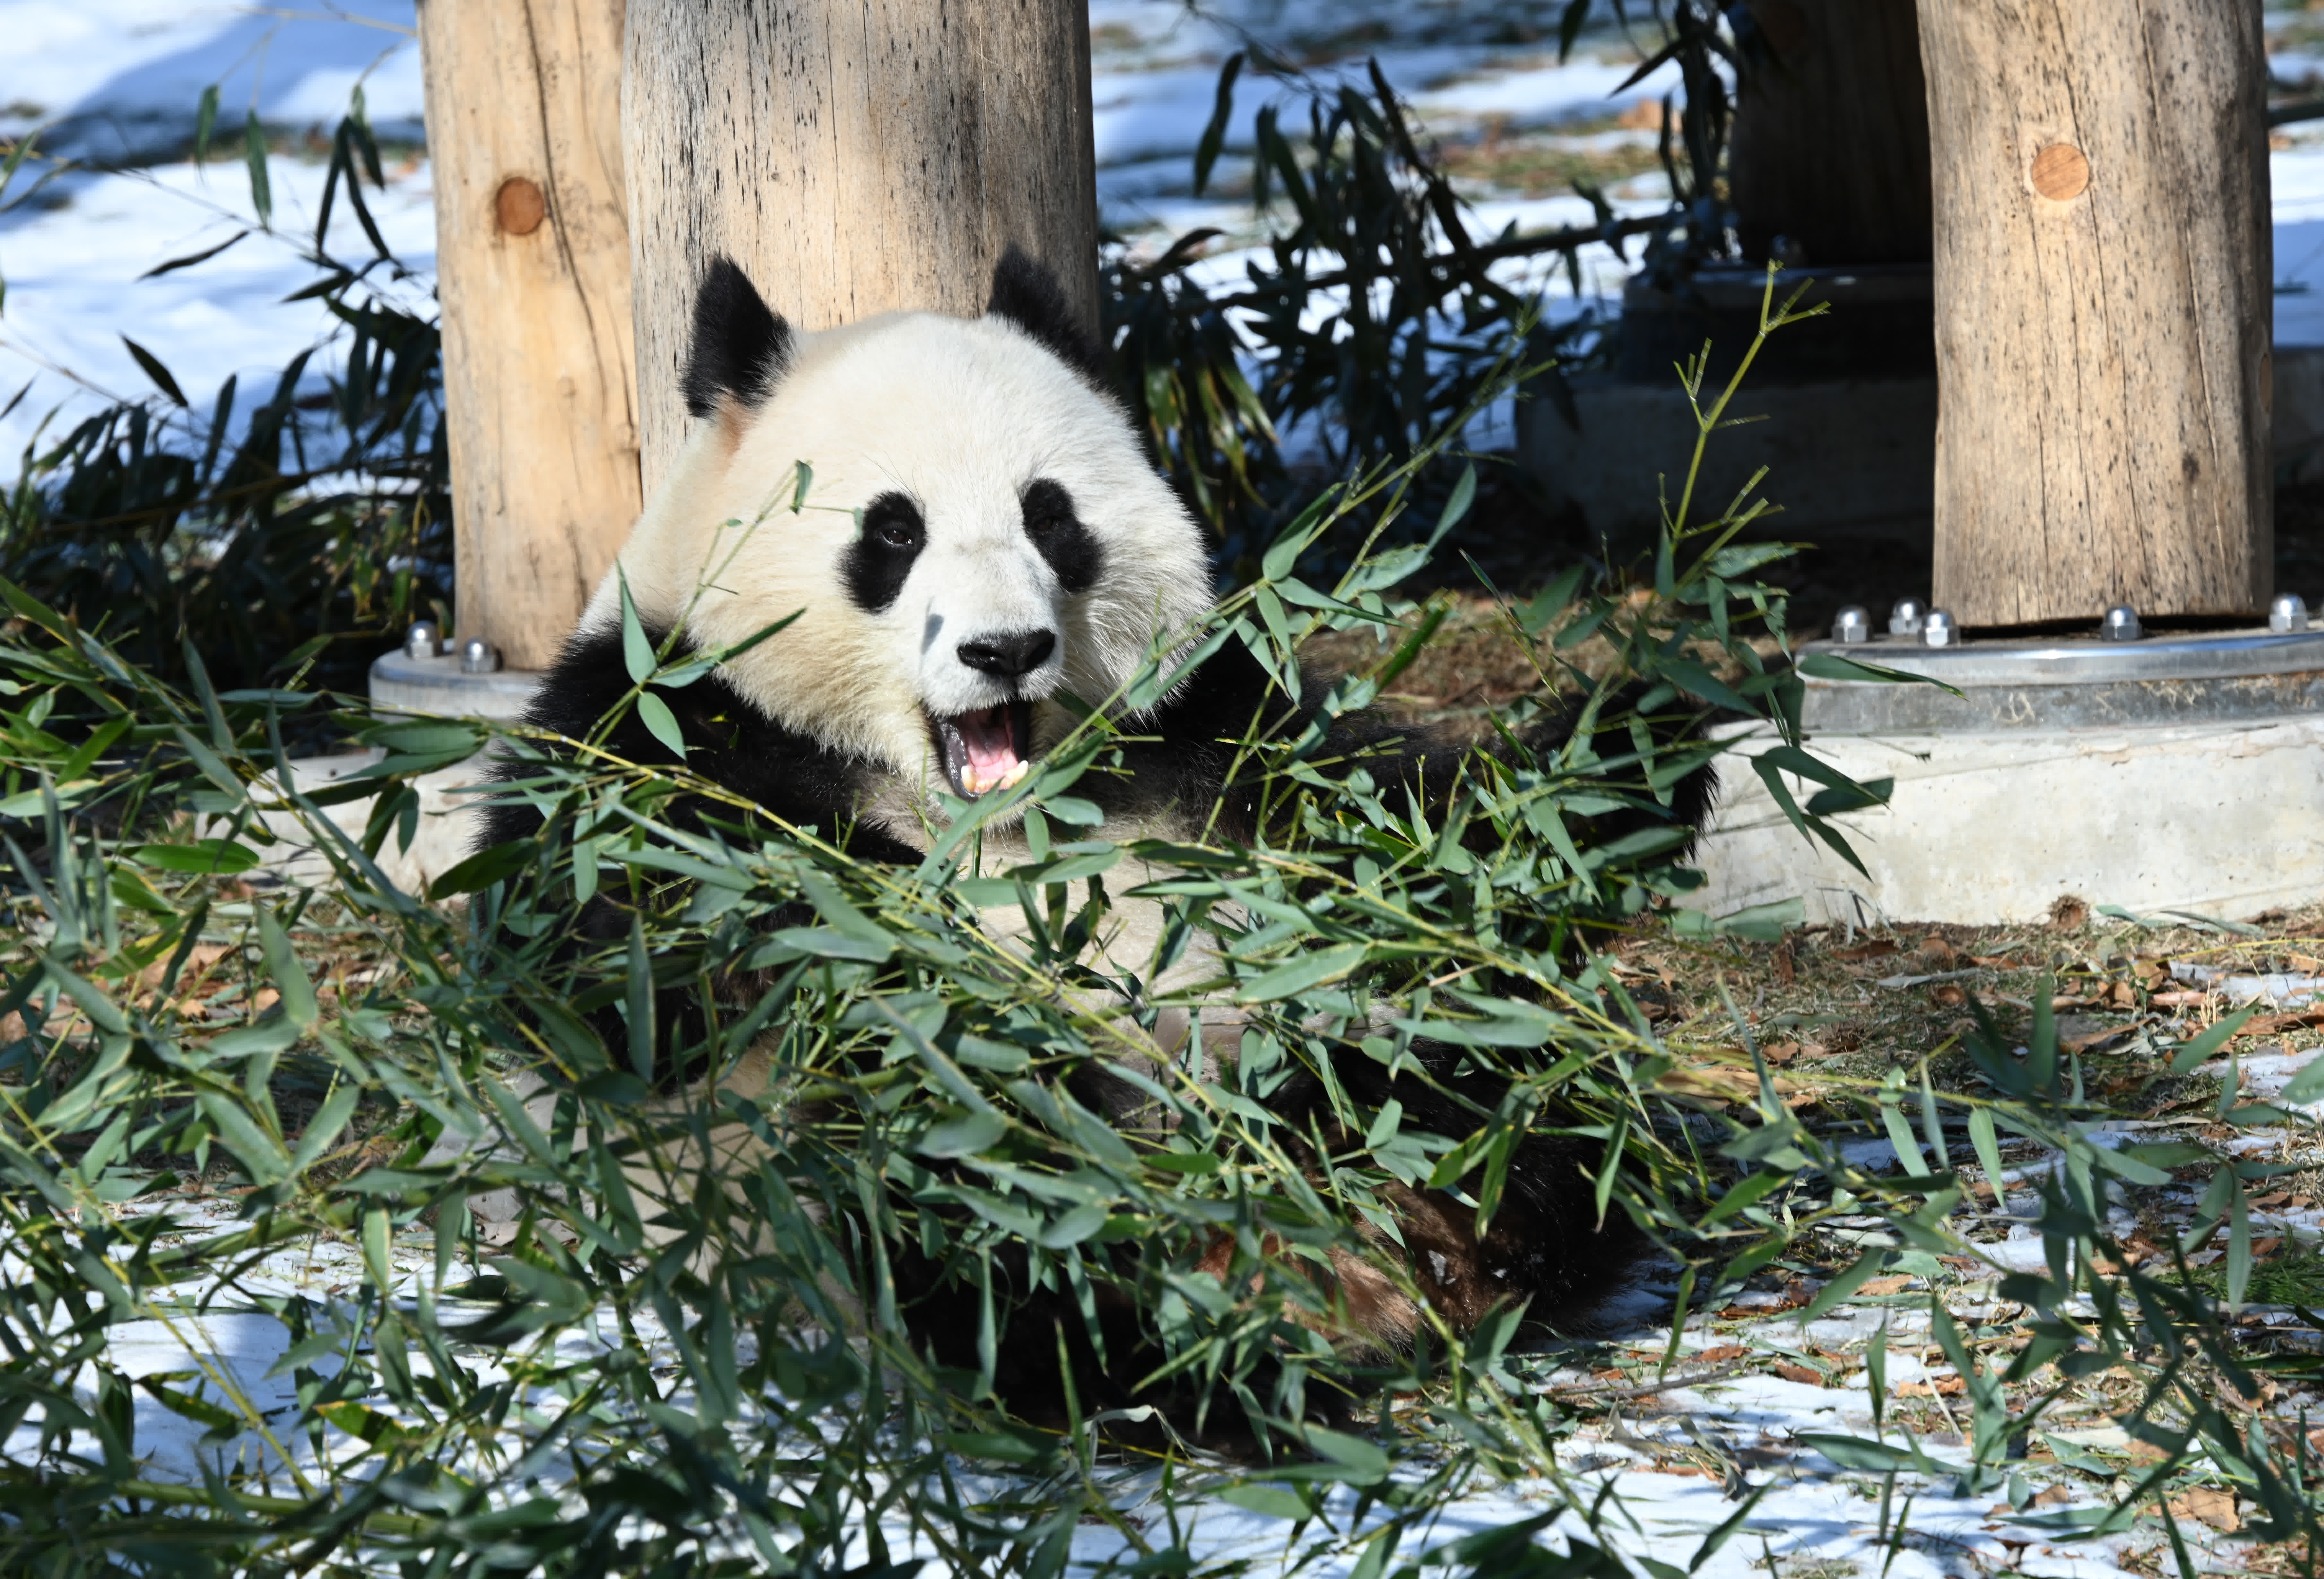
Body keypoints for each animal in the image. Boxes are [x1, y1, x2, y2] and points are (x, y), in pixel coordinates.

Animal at [486, 246, 1692, 1439]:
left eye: (1050, 517)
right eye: (892, 531)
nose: (1005, 650)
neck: (989, 819)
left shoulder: (1207, 730)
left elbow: (1394, 815)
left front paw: (1637, 745)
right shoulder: (654, 728)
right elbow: (630, 971)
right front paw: (888, 921)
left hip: (1349, 1032)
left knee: (1493, 1072)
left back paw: (1477, 1204)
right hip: (819, 1170)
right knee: (945, 1200)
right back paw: (1155, 1345)